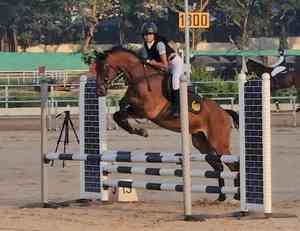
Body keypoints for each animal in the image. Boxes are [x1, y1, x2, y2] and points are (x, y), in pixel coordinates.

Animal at [95, 46, 240, 200]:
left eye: (104, 66)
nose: (100, 91)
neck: (140, 78)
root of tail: (224, 111)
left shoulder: (147, 110)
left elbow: (122, 112)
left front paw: (141, 131)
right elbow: (118, 112)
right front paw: (139, 131)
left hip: (218, 143)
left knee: (234, 164)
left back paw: (237, 195)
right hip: (201, 143)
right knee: (218, 166)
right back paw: (221, 196)